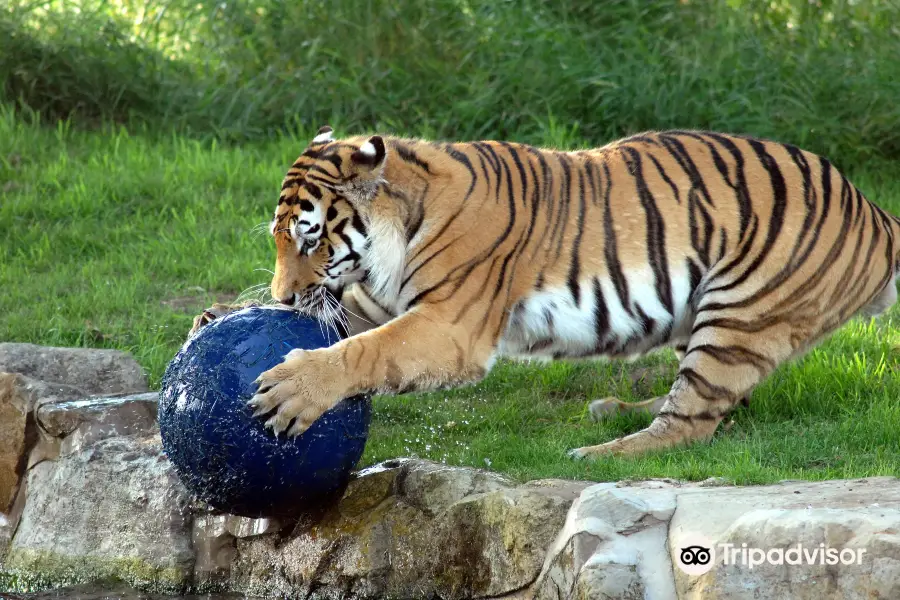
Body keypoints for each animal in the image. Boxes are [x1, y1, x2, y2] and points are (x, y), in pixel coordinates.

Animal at [192, 124, 900, 458]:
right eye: (278, 240)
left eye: (309, 239)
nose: (286, 299)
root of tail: (871, 207)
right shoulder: (385, 300)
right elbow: (353, 326)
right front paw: (217, 317)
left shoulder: (450, 325)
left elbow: (367, 350)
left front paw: (293, 387)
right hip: (702, 312)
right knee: (721, 407)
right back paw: (617, 409)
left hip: (738, 312)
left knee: (692, 424)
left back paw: (602, 451)